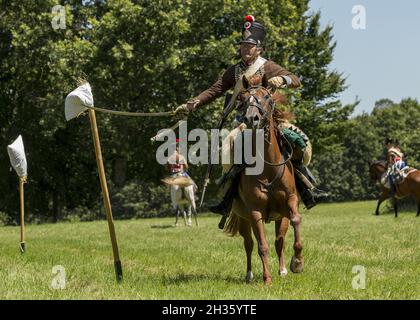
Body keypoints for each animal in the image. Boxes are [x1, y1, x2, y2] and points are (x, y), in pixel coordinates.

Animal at [225, 75, 304, 284]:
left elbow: (296, 220)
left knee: (279, 241)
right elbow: (262, 245)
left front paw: (297, 262)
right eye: (242, 99)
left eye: (267, 97)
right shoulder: (254, 212)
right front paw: (267, 278)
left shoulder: (290, 201)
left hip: (280, 218)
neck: (268, 169)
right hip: (244, 219)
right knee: (249, 244)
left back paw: (283, 270)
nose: (251, 118)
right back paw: (250, 274)